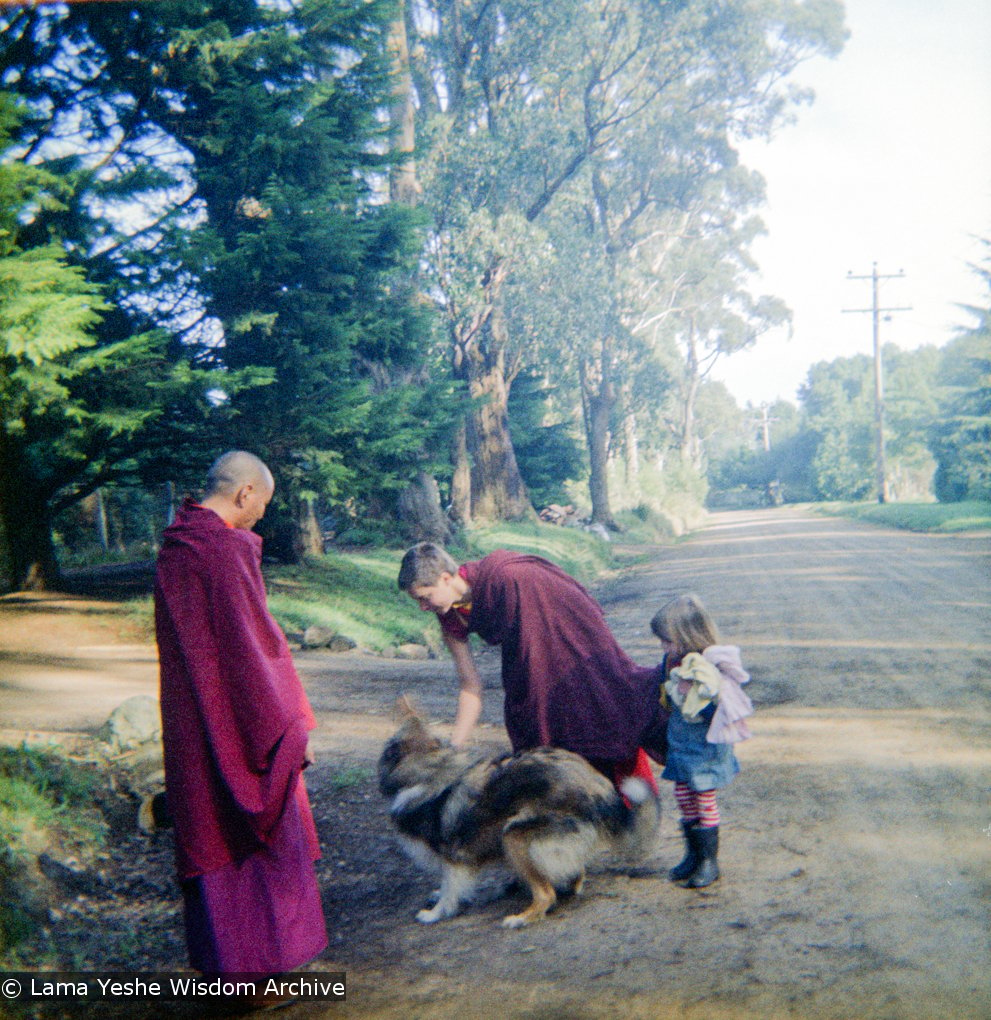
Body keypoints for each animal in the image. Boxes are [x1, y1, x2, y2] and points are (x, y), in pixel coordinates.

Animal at [377, 697, 656, 930]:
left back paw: (522, 918)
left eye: (389, 749)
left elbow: (450, 888)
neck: (429, 770)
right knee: (575, 872)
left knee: (546, 894)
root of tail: (598, 788)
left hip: (515, 835)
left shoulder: (452, 854)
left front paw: (435, 913)